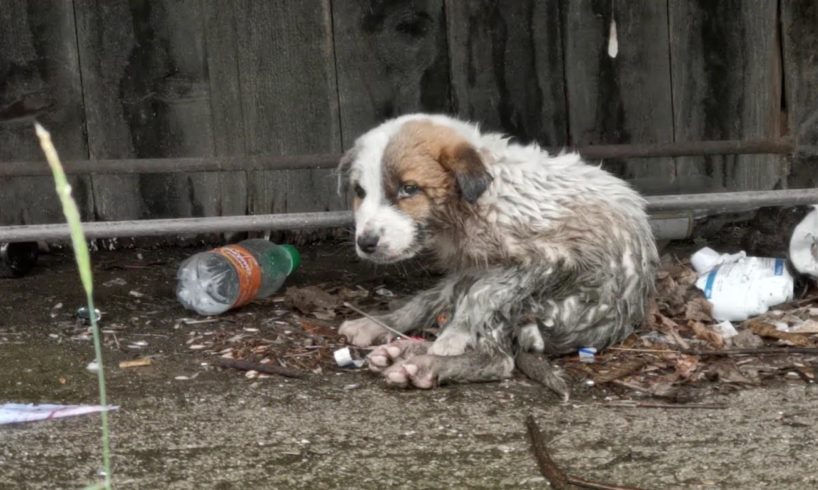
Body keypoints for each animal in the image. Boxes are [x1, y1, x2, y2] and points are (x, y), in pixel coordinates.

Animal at [336, 113, 656, 388]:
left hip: (539, 307)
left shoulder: (547, 259)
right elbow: (427, 300)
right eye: (360, 192)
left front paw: (454, 336)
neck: (472, 204)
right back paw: (391, 341)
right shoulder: (469, 267)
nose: (366, 243)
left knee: (498, 358)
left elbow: (483, 294)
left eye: (409, 188)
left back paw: (424, 364)